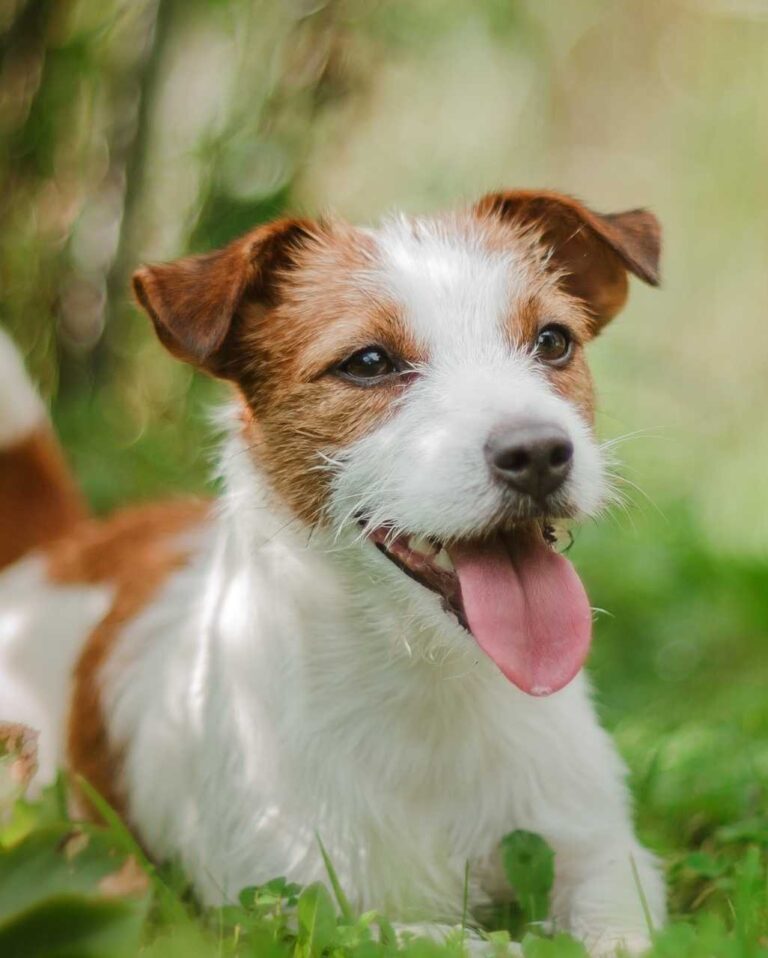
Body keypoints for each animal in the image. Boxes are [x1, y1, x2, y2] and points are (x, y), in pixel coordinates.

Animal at [0, 191, 664, 956]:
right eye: (368, 362)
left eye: (553, 341)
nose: (538, 453)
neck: (430, 689)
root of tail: (67, 547)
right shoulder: (291, 909)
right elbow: (448, 941)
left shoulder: (606, 856)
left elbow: (621, 929)